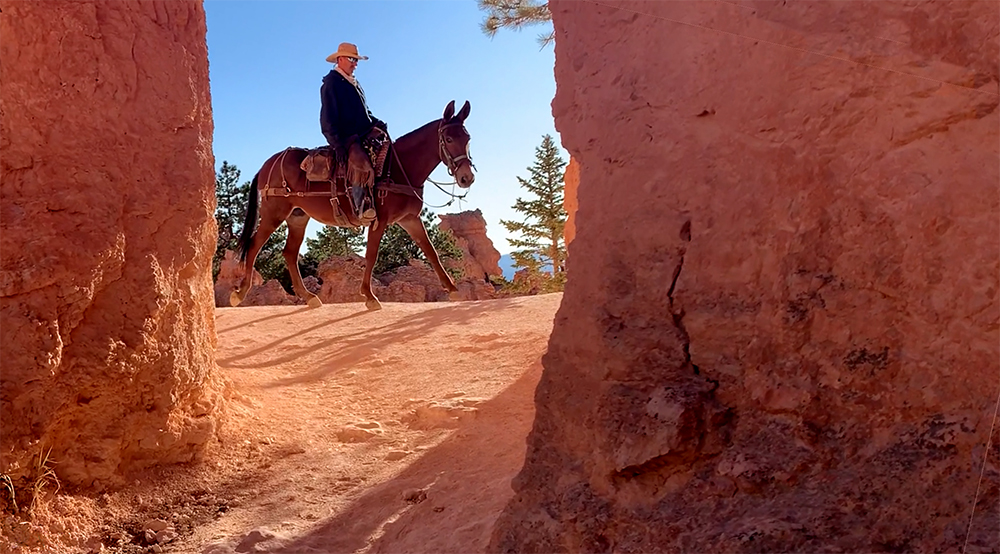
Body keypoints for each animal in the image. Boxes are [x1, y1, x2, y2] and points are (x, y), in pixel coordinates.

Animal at [232, 99, 474, 310]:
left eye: (467, 138)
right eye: (448, 139)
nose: (467, 178)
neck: (398, 168)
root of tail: (267, 164)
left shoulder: (410, 219)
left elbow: (431, 251)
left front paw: (453, 290)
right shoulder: (378, 220)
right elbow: (371, 255)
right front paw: (369, 296)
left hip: (298, 217)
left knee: (290, 253)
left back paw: (309, 297)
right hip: (274, 213)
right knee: (254, 245)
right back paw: (240, 293)